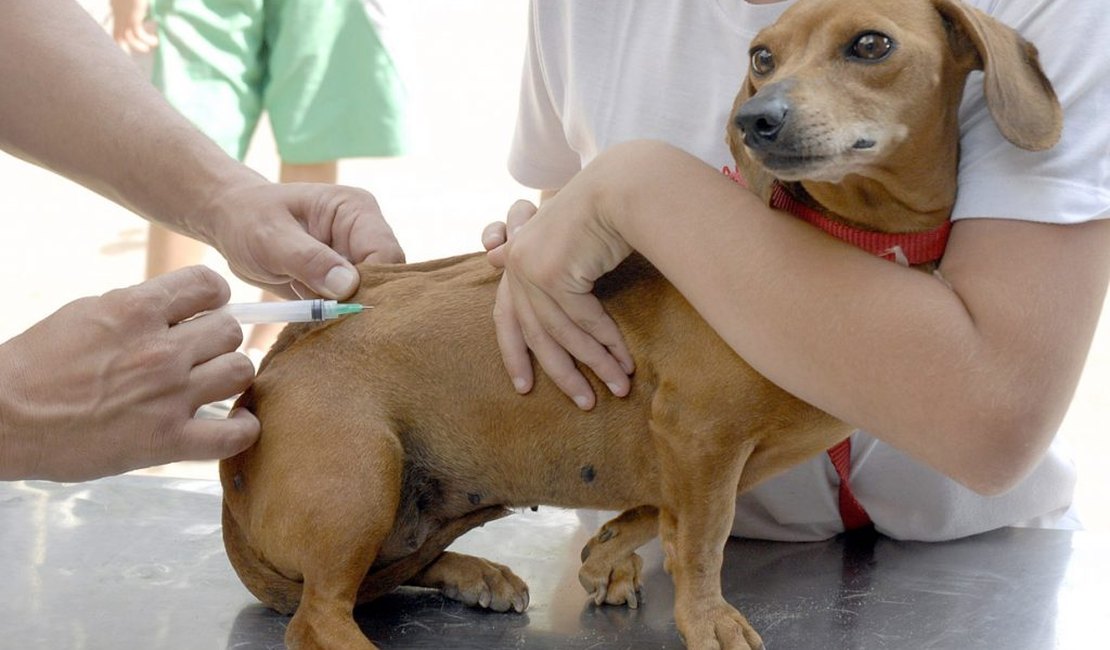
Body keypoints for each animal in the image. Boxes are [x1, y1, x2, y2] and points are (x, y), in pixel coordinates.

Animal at [216, 2, 1056, 643]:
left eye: (871, 44)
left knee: (386, 576)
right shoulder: (700, 436)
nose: (756, 119)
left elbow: (665, 515)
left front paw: (609, 550)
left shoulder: (706, 455)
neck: (838, 241)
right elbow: (703, 542)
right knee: (322, 614)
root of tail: (274, 364)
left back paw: (474, 573)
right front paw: (708, 618)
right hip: (363, 482)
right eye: (761, 56)